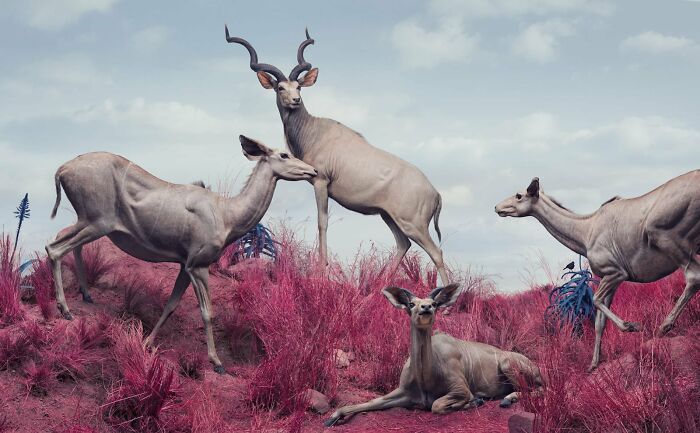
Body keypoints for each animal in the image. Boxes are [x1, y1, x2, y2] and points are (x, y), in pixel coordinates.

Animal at [46, 136, 317, 373]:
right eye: (284, 154)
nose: (313, 171)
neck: (228, 215)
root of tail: (61, 170)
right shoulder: (198, 263)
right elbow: (207, 312)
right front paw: (217, 362)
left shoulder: (184, 265)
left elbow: (171, 305)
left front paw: (147, 343)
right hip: (97, 220)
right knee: (54, 248)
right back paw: (65, 309)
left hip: (88, 220)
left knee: (66, 242)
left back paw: (86, 295)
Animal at [225, 26, 450, 286]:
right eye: (281, 87)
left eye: (298, 87)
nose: (295, 100)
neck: (313, 130)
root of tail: (435, 193)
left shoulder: (320, 182)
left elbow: (322, 222)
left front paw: (322, 268)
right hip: (390, 218)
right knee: (403, 244)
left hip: (413, 224)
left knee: (436, 252)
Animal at [324, 284, 543, 426]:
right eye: (411, 304)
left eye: (435, 303)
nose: (426, 308)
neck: (425, 376)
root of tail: (536, 368)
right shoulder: (404, 392)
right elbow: (369, 403)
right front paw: (333, 417)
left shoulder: (461, 389)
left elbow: (436, 405)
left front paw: (474, 401)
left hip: (508, 364)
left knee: (540, 389)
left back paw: (507, 399)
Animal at [495, 173, 700, 370]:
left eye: (519, 195)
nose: (497, 207)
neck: (585, 233)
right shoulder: (610, 278)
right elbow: (599, 322)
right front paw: (593, 364)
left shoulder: (615, 273)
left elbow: (596, 300)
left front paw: (631, 326)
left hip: (666, 237)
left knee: (693, 276)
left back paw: (663, 327)